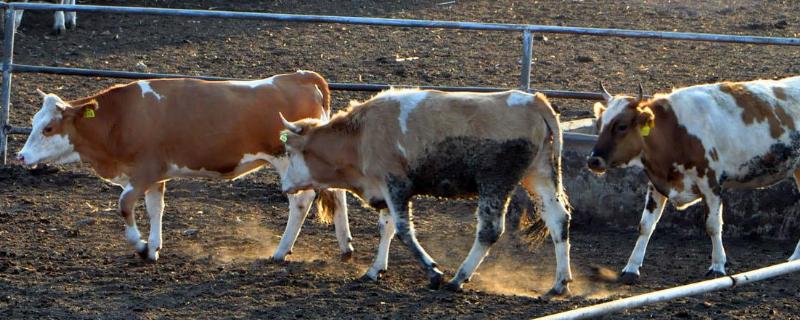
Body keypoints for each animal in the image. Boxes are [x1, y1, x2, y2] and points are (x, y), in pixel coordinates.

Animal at [14, 71, 354, 264]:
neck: (122, 118)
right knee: (337, 193)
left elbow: (124, 205)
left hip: (287, 160)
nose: (21, 156)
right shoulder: (155, 176)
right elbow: (155, 208)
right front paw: (154, 247)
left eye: (47, 128)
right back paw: (345, 245)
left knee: (301, 201)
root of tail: (302, 78)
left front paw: (140, 246)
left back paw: (281, 252)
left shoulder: (144, 172)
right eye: (33, 121)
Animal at [278, 88, 572, 296]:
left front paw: (433, 272)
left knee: (490, 231)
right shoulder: (384, 189)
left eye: (290, 152)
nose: (284, 186)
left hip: (496, 182)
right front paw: (374, 270)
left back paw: (458, 278)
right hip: (539, 174)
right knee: (558, 220)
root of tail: (534, 101)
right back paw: (559, 283)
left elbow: (404, 231)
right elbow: (386, 228)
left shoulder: (396, 185)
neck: (360, 136)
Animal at [584, 77, 800, 282]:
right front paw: (631, 268)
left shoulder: (711, 183)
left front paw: (717, 266)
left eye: (621, 126)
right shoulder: (656, 183)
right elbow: (645, 226)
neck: (675, 131)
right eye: (599, 124)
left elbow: (713, 225)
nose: (593, 160)